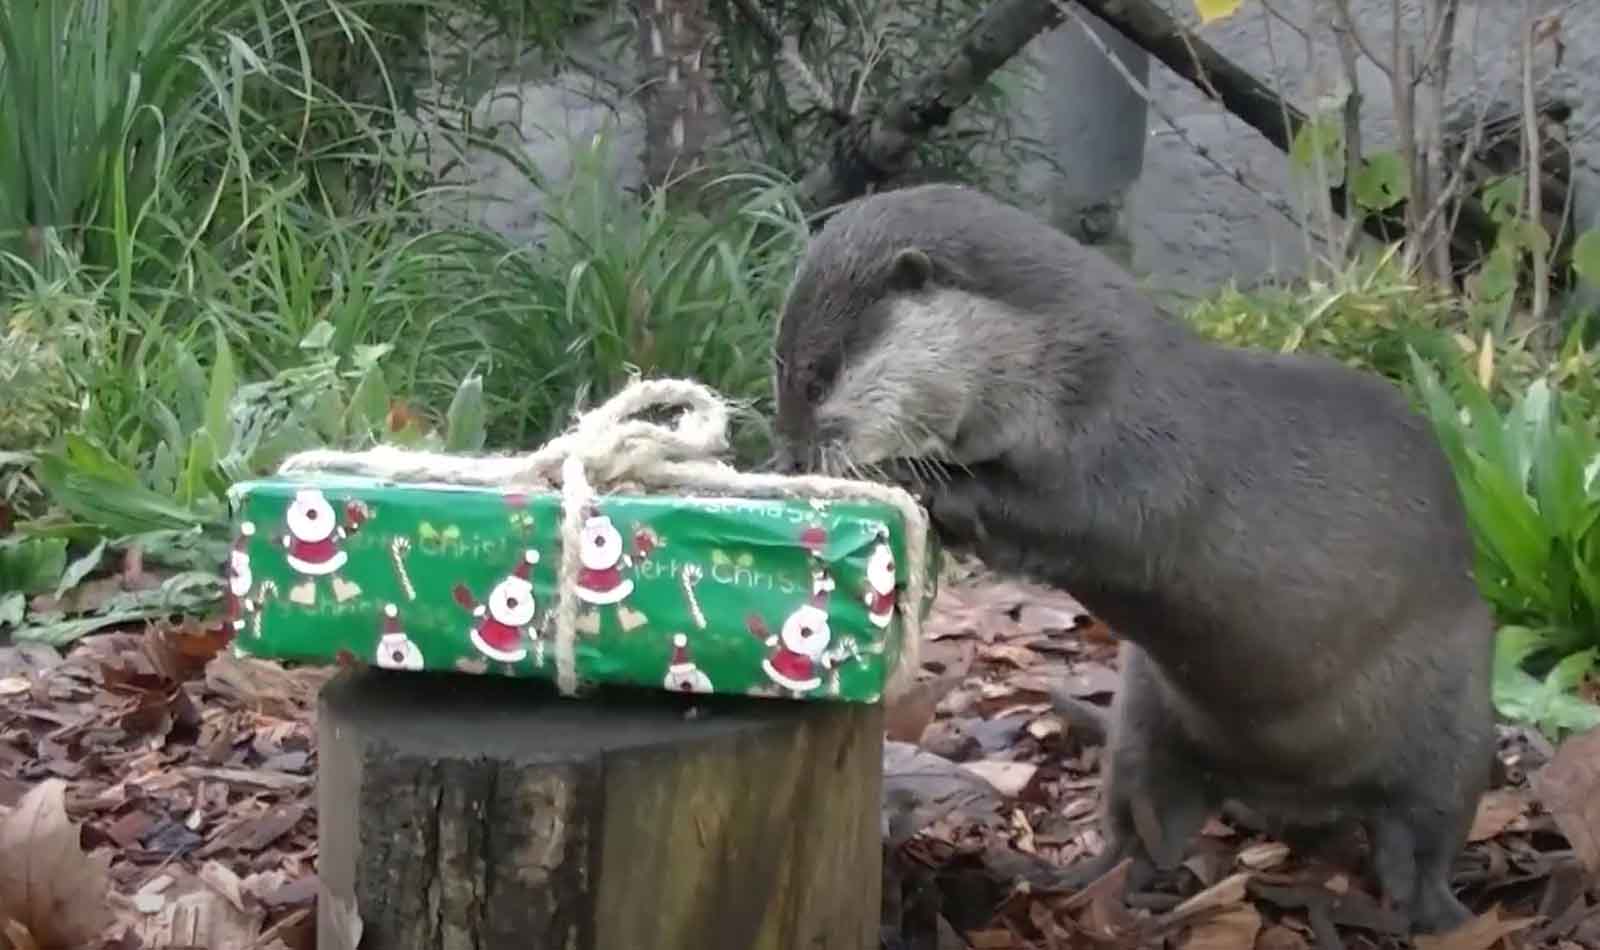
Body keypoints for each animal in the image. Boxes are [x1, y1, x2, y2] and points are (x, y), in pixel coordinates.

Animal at [774, 181, 1497, 927]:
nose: (790, 454)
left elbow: (1078, 520)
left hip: (1459, 720)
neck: (1062, 367)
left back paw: (1437, 912)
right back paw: (1065, 877)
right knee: (1142, 824)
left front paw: (917, 476)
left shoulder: (1133, 455)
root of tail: (1295, 793)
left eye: (818, 378)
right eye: (782, 368)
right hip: (1146, 718)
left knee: (1428, 828)